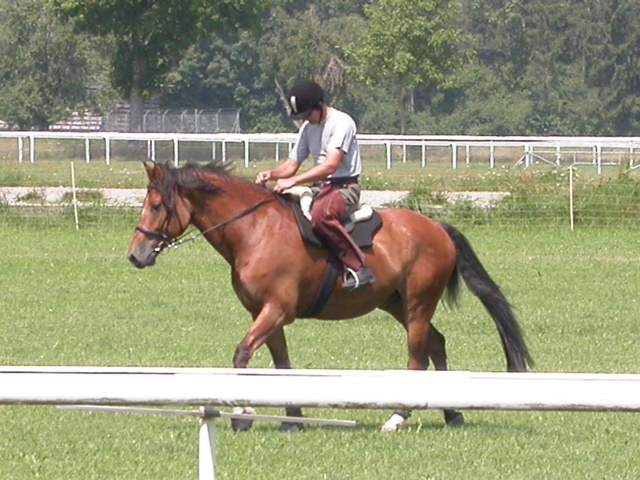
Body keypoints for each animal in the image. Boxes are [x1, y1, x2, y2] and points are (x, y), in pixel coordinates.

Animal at [127, 161, 533, 432]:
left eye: (158, 205)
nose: (136, 255)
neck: (255, 231)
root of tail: (436, 227)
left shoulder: (276, 310)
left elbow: (242, 354)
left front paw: (243, 416)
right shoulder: (266, 313)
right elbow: (282, 366)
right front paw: (291, 420)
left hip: (418, 304)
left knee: (418, 355)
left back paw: (398, 417)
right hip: (397, 304)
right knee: (436, 343)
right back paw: (452, 413)